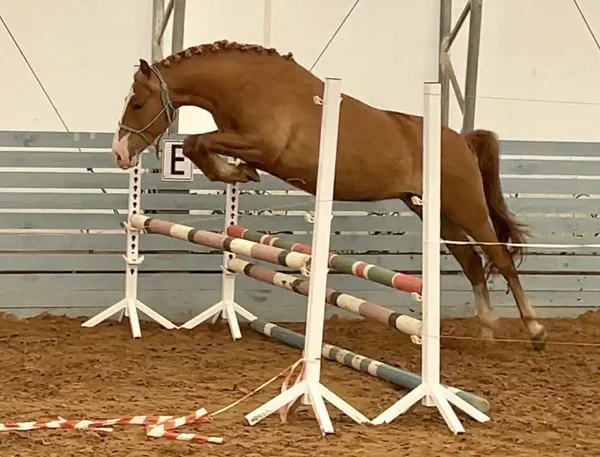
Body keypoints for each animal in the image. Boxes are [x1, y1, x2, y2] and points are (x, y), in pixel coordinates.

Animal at [111, 39, 547, 351]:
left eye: (137, 103)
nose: (120, 154)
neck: (252, 87)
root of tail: (460, 139)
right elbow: (198, 144)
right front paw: (236, 172)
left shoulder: (262, 145)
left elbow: (198, 141)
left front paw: (237, 171)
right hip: (436, 212)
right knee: (472, 262)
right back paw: (487, 329)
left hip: (466, 206)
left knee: (499, 259)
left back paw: (535, 329)